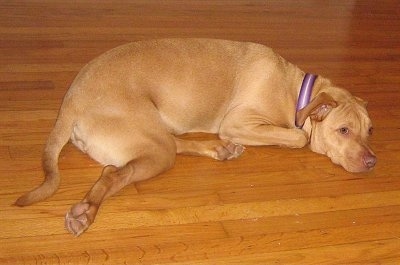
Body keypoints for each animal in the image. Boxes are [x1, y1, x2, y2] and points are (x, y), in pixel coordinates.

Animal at [14, 38, 376, 235]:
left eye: (370, 129)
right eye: (343, 130)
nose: (373, 161)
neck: (296, 91)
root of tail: (71, 101)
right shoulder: (239, 121)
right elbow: (298, 137)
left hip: (156, 136)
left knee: (170, 145)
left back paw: (218, 149)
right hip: (155, 148)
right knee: (113, 173)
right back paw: (85, 212)